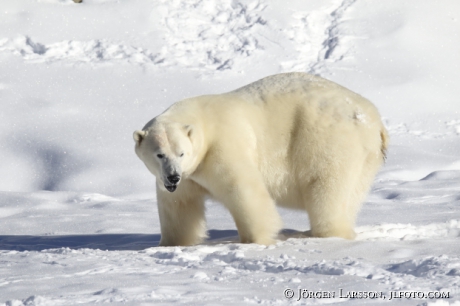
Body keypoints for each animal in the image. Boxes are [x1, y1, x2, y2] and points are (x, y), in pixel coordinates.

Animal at [133, 71, 388, 246]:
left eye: (181, 152)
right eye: (159, 154)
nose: (172, 177)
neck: (203, 122)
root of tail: (375, 119)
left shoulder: (223, 146)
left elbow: (244, 189)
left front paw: (259, 238)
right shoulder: (188, 176)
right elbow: (178, 205)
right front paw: (171, 243)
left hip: (327, 137)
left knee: (325, 185)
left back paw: (325, 233)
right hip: (365, 156)